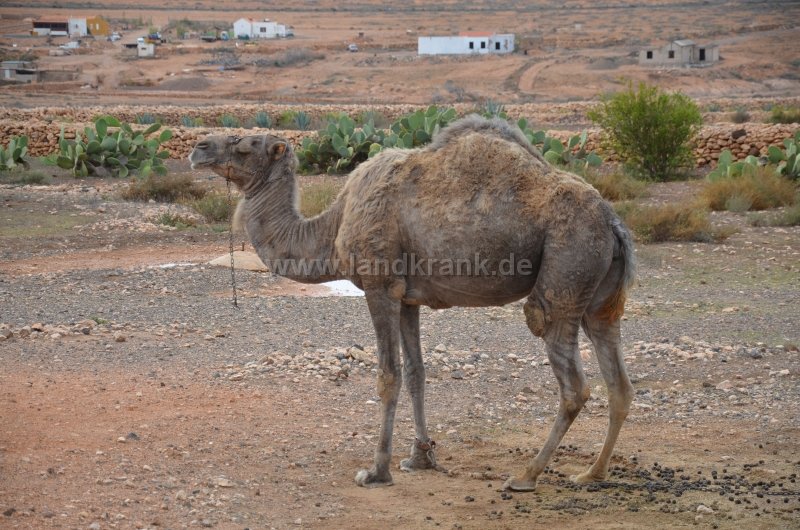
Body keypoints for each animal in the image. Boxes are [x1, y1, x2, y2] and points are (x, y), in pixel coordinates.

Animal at [189, 115, 636, 491]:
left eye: (246, 143)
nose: (198, 147)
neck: (332, 228)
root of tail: (613, 222)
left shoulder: (379, 284)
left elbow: (388, 376)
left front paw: (376, 470)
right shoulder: (408, 298)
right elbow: (417, 372)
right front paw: (421, 457)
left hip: (566, 267)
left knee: (572, 381)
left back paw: (527, 475)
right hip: (599, 298)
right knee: (619, 382)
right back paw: (592, 472)